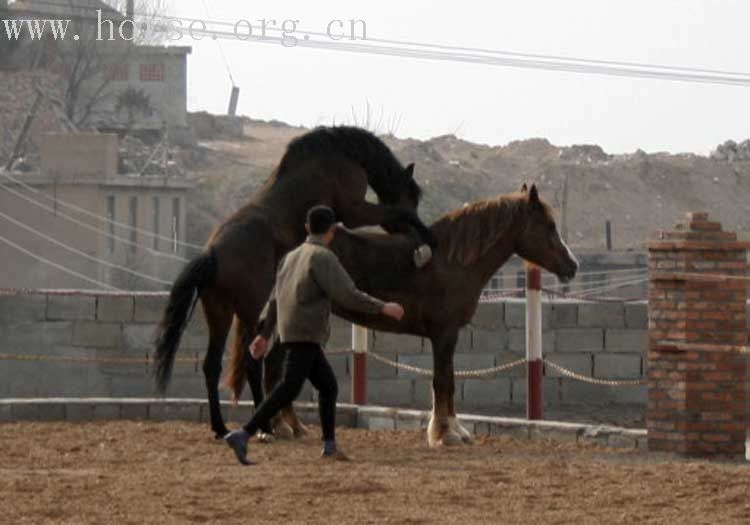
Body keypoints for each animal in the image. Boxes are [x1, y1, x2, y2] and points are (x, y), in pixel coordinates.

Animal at [153, 127, 438, 438]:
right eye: (413, 196)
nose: (410, 240)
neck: (341, 154)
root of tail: (212, 253)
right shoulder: (353, 211)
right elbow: (397, 213)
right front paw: (427, 244)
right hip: (250, 311)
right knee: (253, 362)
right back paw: (263, 426)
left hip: (220, 312)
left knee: (212, 366)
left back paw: (222, 427)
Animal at [226, 184, 580, 446]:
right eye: (548, 226)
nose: (572, 265)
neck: (452, 260)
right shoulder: (444, 334)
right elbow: (442, 381)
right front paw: (444, 434)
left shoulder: (448, 336)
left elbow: (448, 381)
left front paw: (455, 431)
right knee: (274, 367)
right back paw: (279, 428)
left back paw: (291, 427)